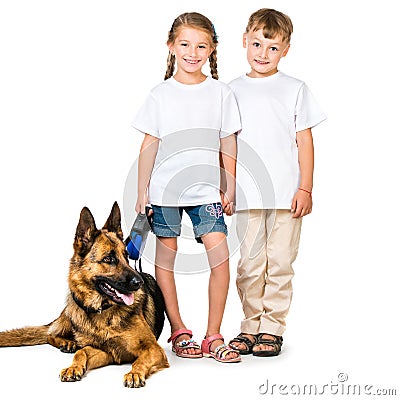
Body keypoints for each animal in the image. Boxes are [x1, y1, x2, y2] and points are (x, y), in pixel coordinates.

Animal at [0, 202, 169, 386]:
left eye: (126, 256)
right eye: (108, 259)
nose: (139, 282)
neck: (103, 312)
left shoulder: (152, 349)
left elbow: (139, 360)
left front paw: (134, 373)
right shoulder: (105, 350)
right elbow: (82, 352)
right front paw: (73, 368)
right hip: (71, 312)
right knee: (51, 334)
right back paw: (67, 343)